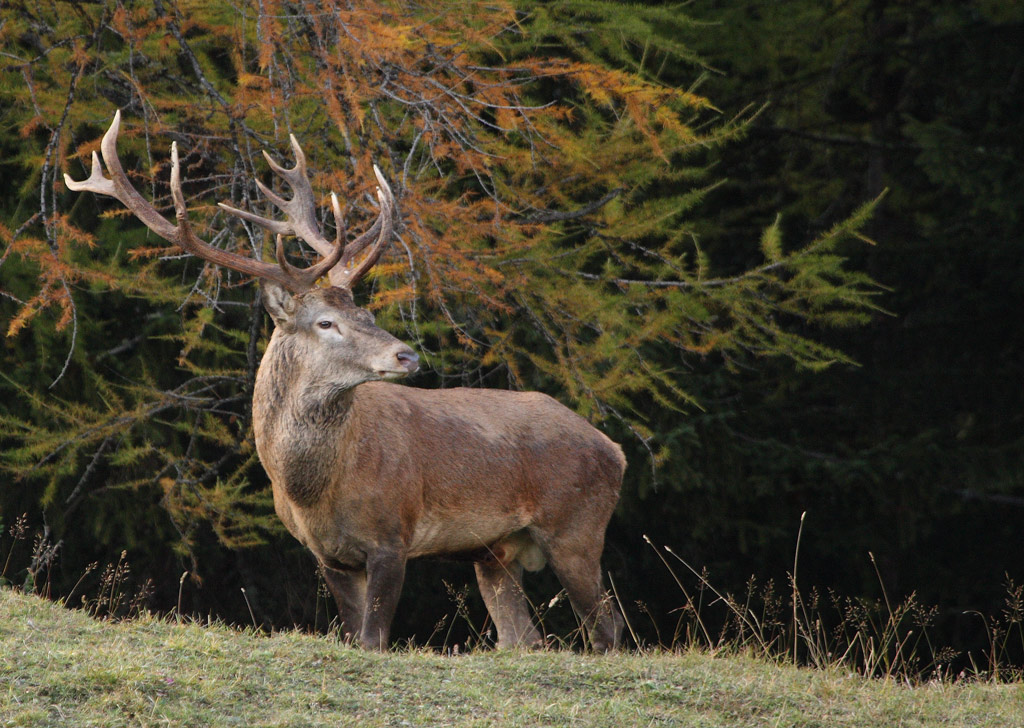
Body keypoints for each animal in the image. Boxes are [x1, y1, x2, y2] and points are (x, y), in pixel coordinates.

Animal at [65, 111, 626, 651]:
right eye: (326, 323)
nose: (407, 354)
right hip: (496, 553)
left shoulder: (393, 535)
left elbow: (374, 641)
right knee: (524, 639)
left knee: (608, 629)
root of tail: (614, 450)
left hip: (576, 526)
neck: (315, 490)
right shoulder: (327, 555)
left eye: (366, 312)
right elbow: (355, 634)